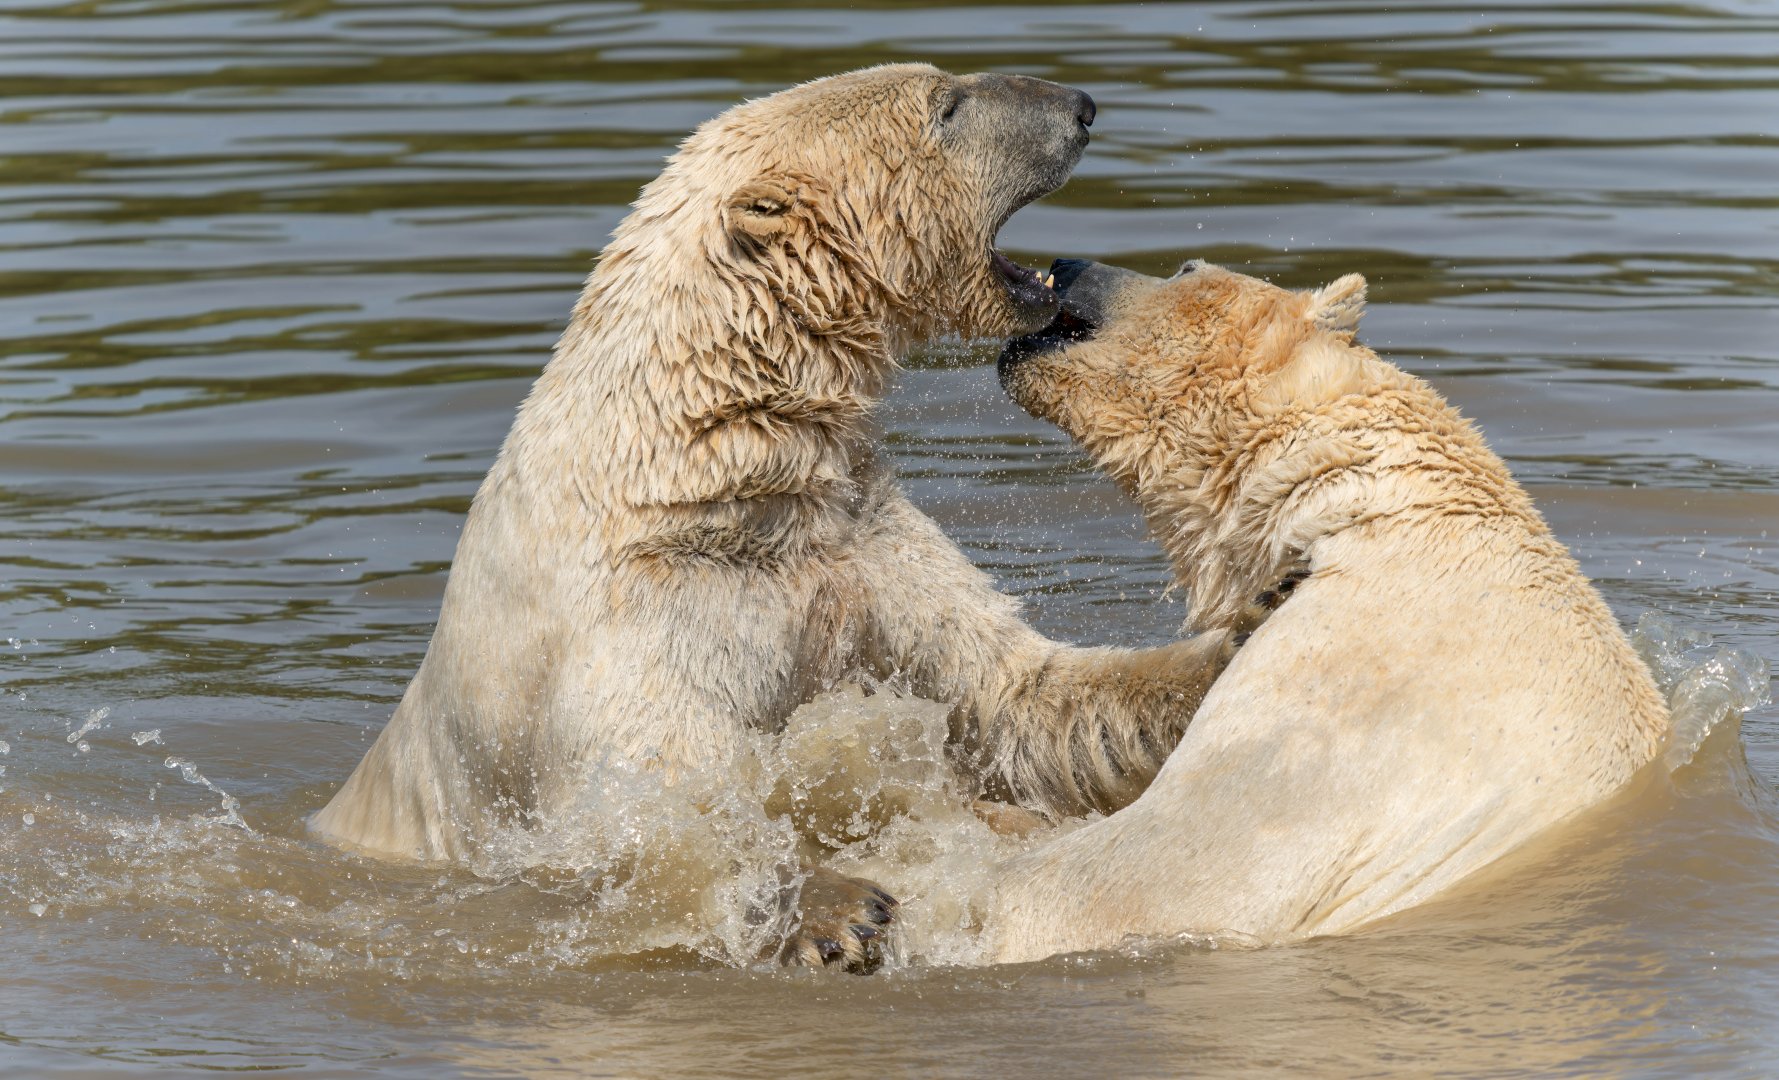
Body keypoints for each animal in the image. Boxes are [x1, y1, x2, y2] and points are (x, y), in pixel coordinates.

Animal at [306, 66, 1233, 971]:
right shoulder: (639, 608)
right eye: (947, 104)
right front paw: (836, 909)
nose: (1080, 105)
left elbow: (1008, 695)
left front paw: (1237, 630)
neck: (702, 463)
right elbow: (654, 803)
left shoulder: (854, 535)